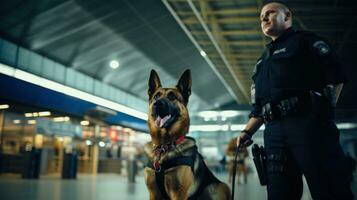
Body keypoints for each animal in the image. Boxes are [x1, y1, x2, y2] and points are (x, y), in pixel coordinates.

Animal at [143, 69, 229, 200]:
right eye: (156, 96)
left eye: (172, 96)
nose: (157, 104)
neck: (164, 147)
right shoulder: (153, 193)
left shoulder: (179, 194)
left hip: (219, 186)